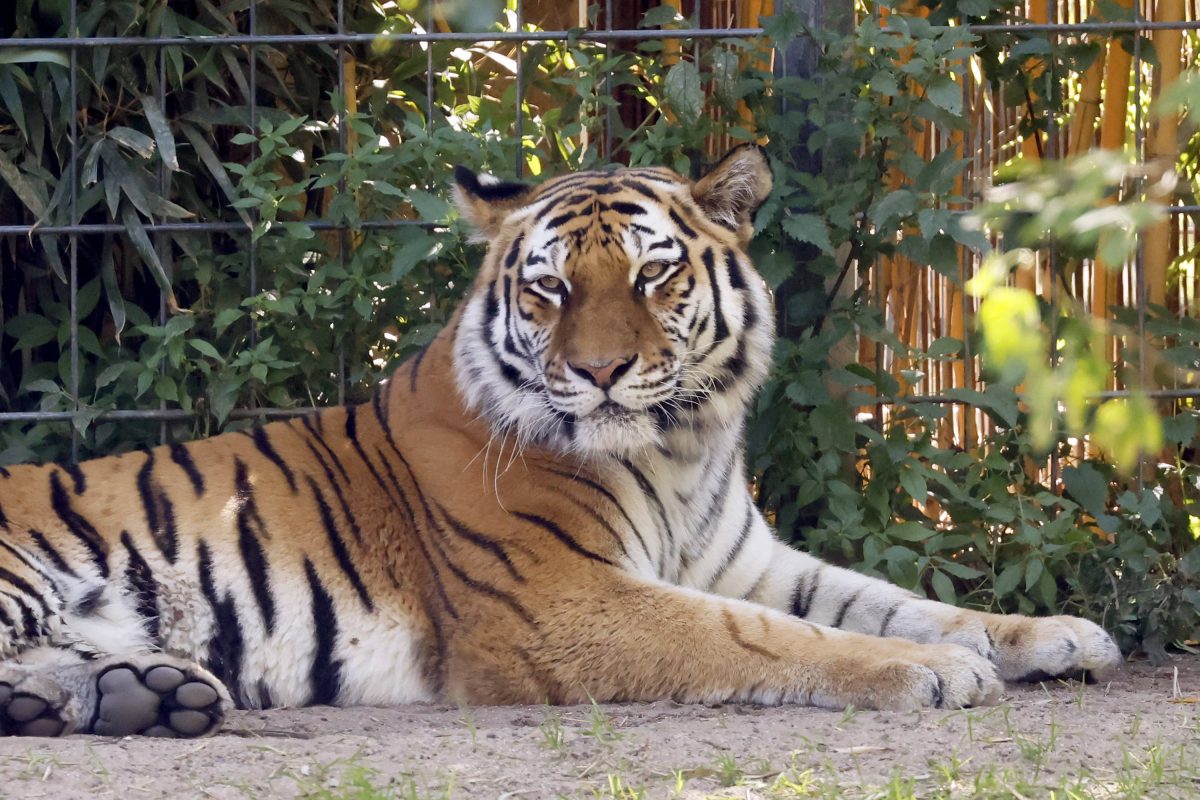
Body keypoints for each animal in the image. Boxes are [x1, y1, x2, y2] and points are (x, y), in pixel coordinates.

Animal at [0, 145, 1118, 738]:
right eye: (549, 286)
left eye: (653, 275)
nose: (601, 371)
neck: (679, 450)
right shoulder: (559, 598)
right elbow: (768, 636)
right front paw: (930, 670)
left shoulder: (744, 561)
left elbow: (890, 599)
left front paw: (1053, 634)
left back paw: (144, 694)